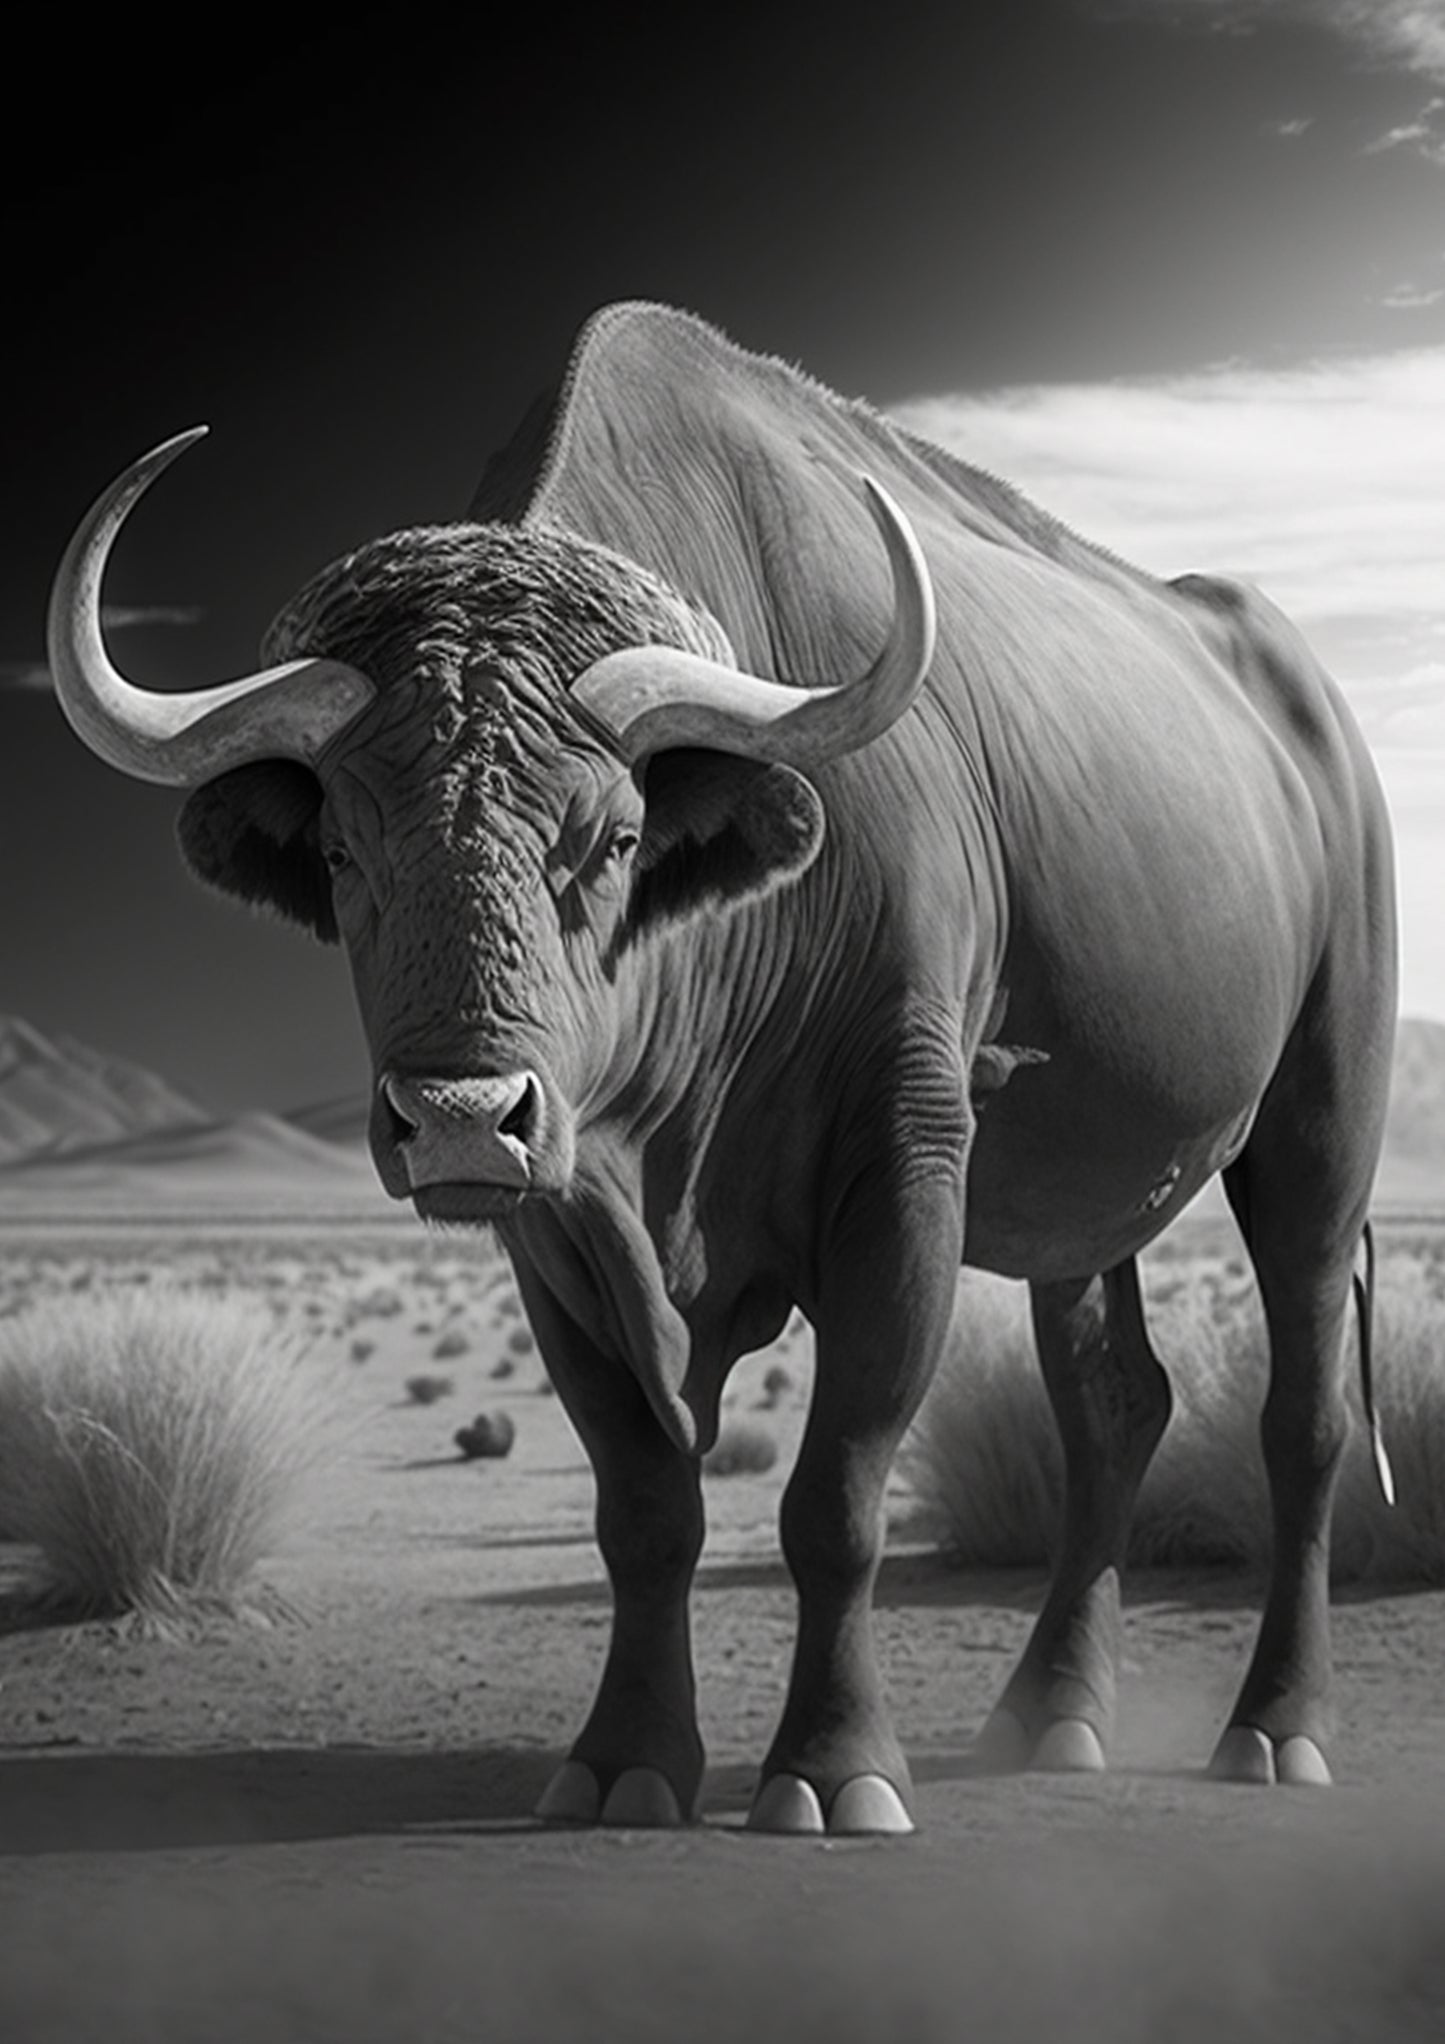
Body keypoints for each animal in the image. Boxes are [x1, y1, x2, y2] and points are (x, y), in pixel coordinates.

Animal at [48, 302, 1396, 1831]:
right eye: (342, 848)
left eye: (613, 836)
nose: (460, 1117)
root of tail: (1319, 729)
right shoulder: (563, 1234)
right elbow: (646, 1505)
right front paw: (623, 1761)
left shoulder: (902, 1171)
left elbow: (833, 1493)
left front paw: (832, 1769)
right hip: (1086, 1207)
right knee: (1114, 1405)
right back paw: (1048, 1719)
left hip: (1315, 1139)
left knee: (1300, 1419)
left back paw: (1274, 1729)